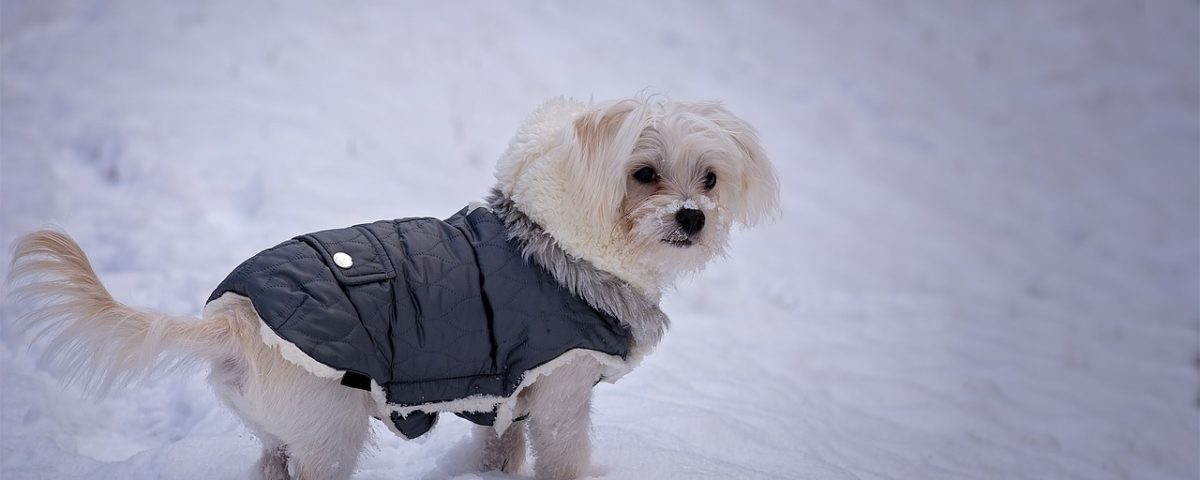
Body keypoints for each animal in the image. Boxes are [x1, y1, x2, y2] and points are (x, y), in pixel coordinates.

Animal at [7, 95, 777, 477]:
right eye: (643, 174)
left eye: (710, 179)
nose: (692, 217)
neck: (556, 245)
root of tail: (235, 317)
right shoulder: (561, 396)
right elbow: (564, 459)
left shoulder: (506, 401)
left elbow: (502, 452)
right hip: (330, 434)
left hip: (281, 437)